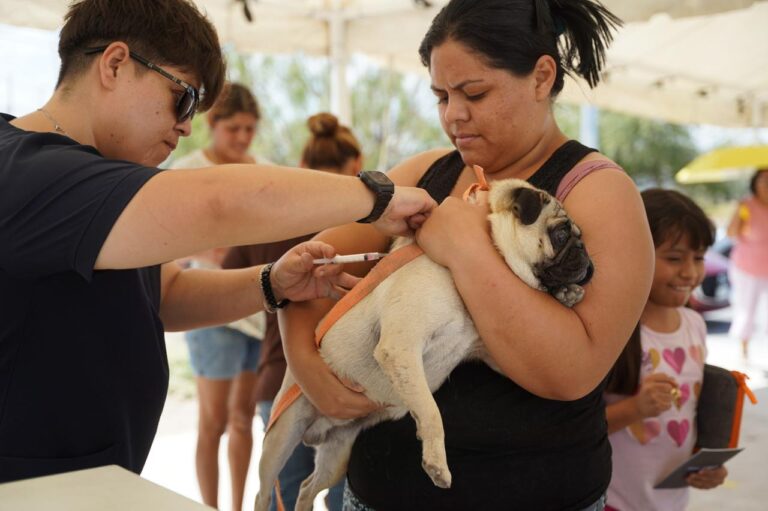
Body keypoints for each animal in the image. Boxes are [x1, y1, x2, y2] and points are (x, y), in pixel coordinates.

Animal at [252, 179, 592, 511]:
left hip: (337, 454)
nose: (586, 256)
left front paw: (566, 294)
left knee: (307, 489)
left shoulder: (494, 354)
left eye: (579, 238)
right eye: (561, 234)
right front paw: (436, 463)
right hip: (283, 434)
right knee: (263, 492)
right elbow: (430, 411)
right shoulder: (402, 346)